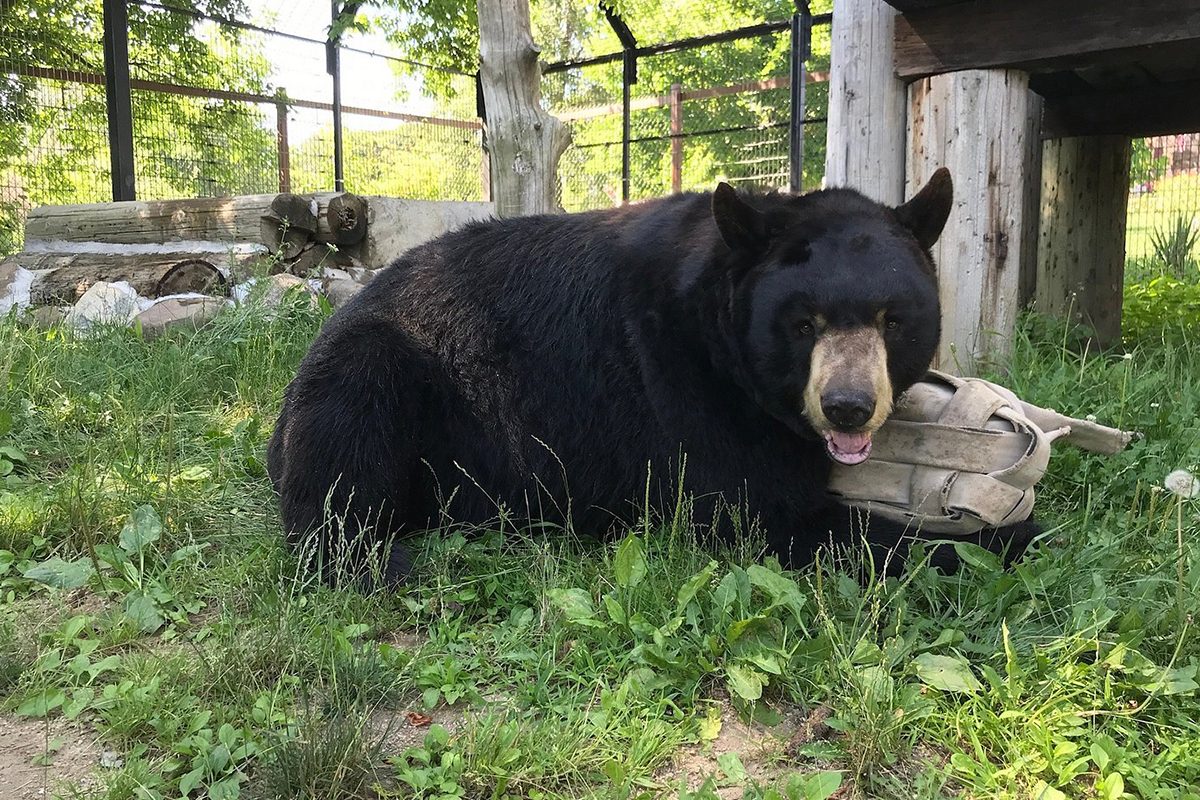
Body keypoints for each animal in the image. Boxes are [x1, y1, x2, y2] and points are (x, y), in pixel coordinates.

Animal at [267, 169, 1038, 585]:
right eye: (802, 323)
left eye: (891, 319)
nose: (847, 406)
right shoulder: (681, 382)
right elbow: (759, 508)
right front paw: (1005, 534)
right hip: (382, 365)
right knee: (342, 454)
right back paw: (379, 559)